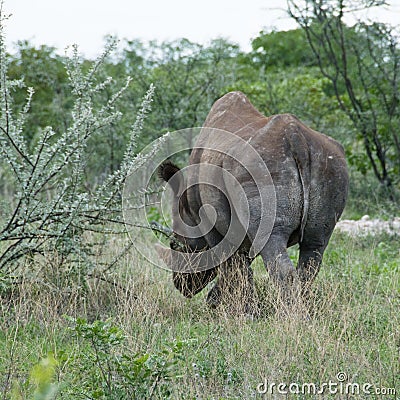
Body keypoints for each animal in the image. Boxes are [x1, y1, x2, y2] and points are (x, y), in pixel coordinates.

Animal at [155, 92, 346, 314]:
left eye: (174, 244)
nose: (182, 286)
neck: (187, 208)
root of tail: (296, 137)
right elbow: (240, 263)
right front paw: (219, 302)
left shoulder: (212, 225)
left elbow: (230, 265)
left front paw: (241, 310)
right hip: (331, 166)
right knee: (315, 246)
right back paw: (302, 310)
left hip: (260, 167)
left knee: (273, 242)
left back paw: (290, 316)